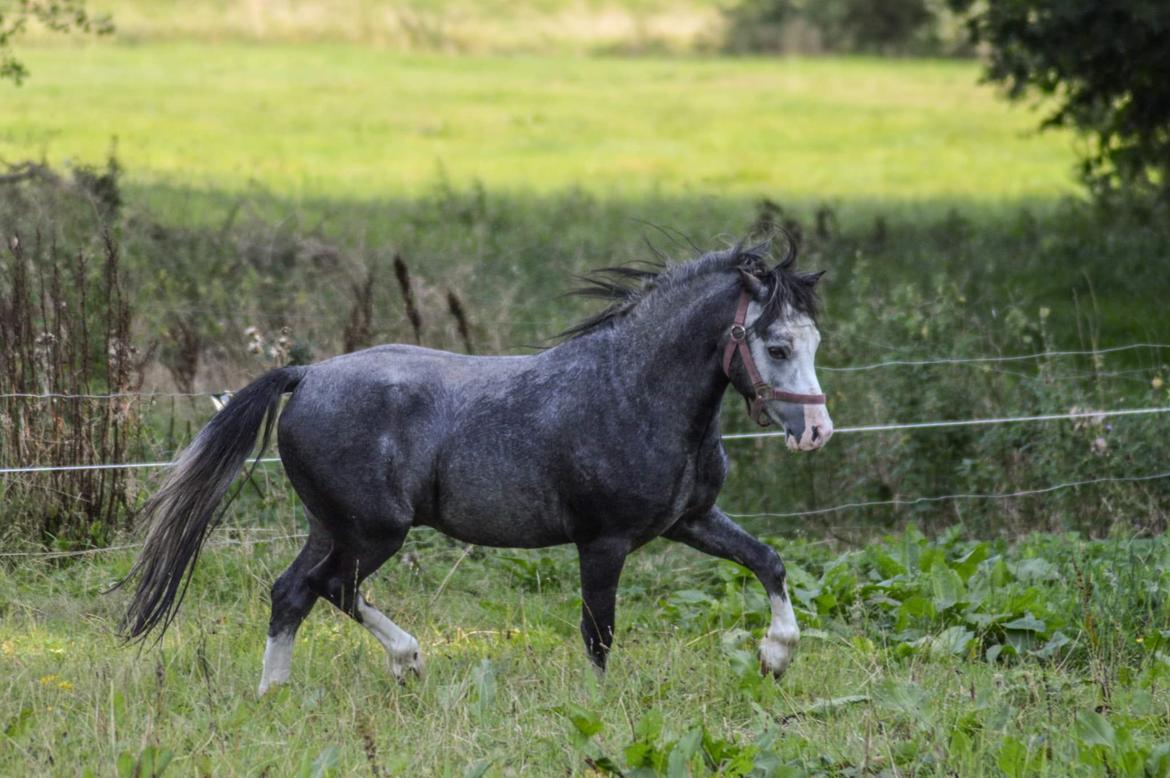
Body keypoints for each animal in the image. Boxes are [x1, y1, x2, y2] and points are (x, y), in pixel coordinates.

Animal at [118, 241, 833, 692]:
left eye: (814, 341)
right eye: (776, 345)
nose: (817, 432)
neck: (631, 391)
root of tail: (307, 374)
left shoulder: (692, 520)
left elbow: (769, 562)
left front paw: (775, 658)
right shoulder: (603, 541)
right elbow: (598, 633)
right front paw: (601, 707)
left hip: (332, 527)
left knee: (294, 591)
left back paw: (288, 691)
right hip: (374, 531)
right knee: (328, 588)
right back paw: (400, 663)